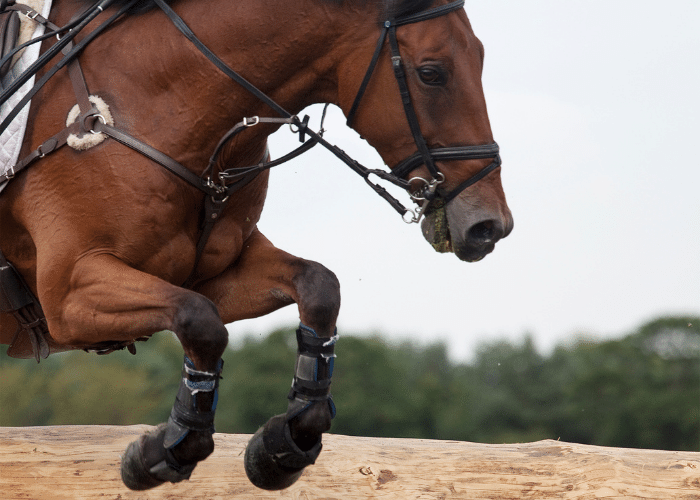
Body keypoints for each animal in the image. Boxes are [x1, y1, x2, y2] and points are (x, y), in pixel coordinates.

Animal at [1, 0, 516, 492]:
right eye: (431, 73)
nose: (489, 226)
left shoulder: (213, 275)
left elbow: (317, 286)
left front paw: (283, 443)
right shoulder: (69, 294)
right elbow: (201, 322)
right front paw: (163, 450)